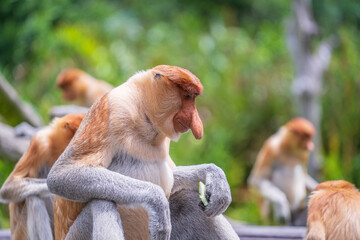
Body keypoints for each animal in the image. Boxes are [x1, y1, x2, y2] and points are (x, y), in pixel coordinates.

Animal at [48, 65, 239, 240]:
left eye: (193, 99)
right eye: (186, 97)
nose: (196, 122)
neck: (144, 115)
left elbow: (172, 175)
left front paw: (215, 177)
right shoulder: (112, 109)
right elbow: (61, 175)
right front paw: (157, 203)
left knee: (186, 199)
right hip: (78, 234)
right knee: (102, 202)